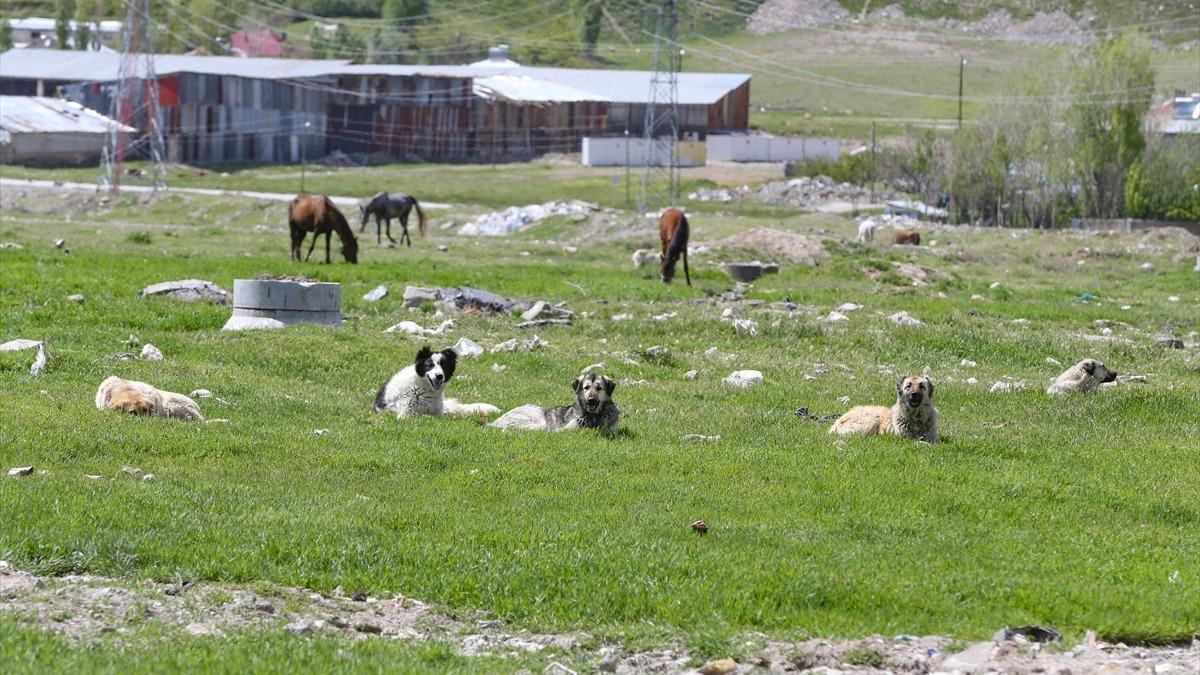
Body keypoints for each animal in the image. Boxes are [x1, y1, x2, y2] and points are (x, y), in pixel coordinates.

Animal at [489, 369, 619, 432]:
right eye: (586, 388)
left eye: (599, 388)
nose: (591, 400)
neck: (594, 416)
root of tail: (495, 422)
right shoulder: (567, 429)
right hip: (539, 418)